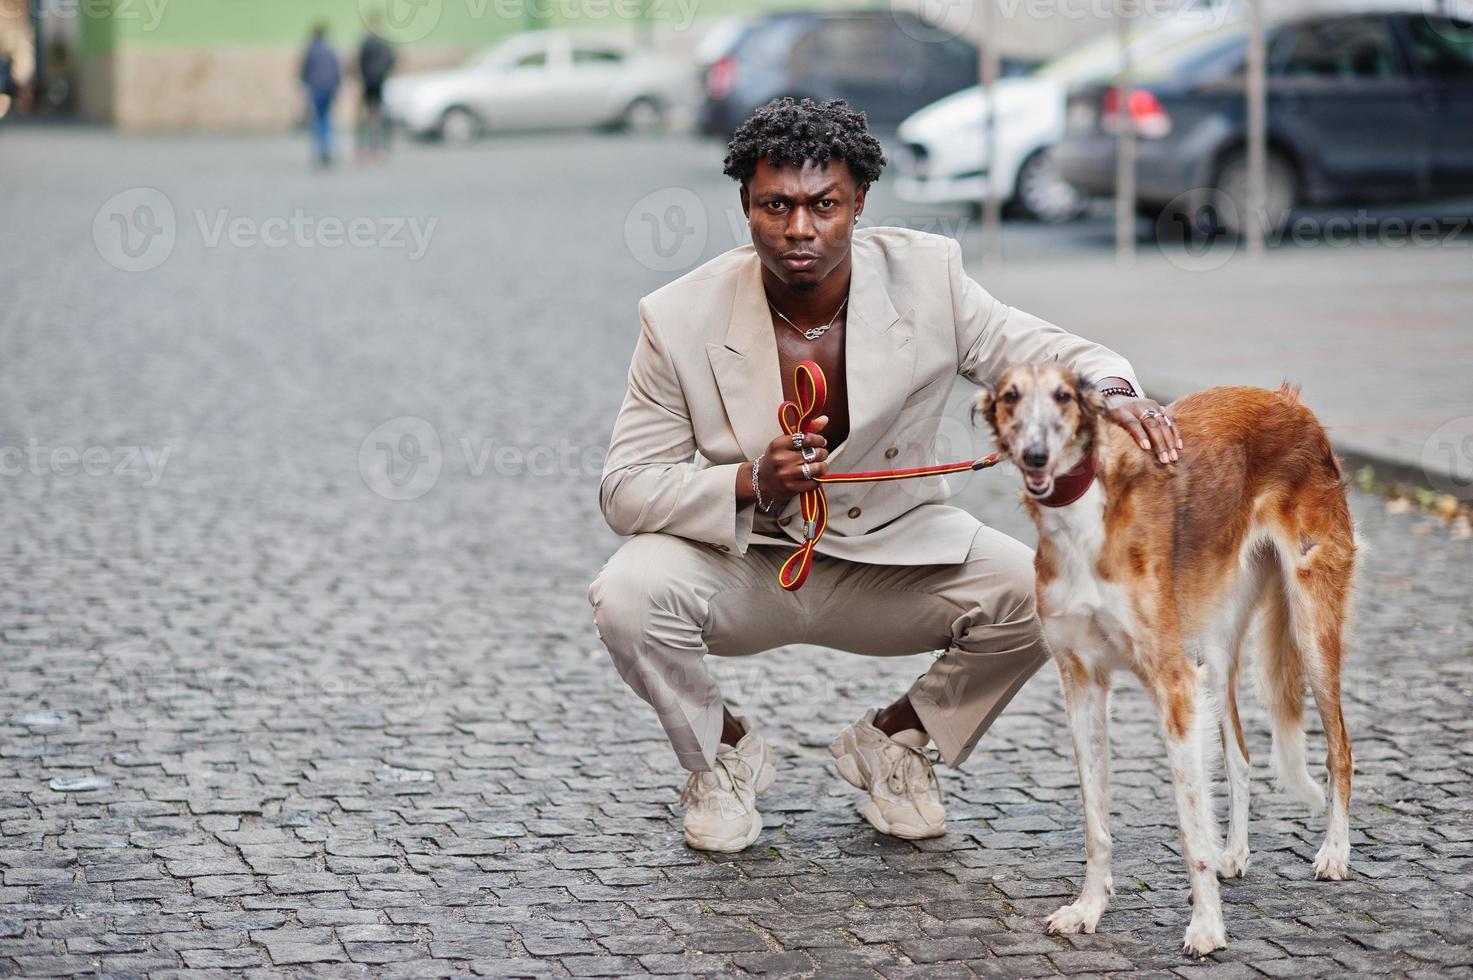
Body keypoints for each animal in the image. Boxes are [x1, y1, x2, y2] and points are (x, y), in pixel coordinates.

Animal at [978, 362, 1355, 949]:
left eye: (1063, 397)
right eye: (1011, 396)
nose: (1036, 456)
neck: (1085, 522)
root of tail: (1291, 402)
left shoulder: (1174, 682)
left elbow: (1188, 825)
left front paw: (1206, 928)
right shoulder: (1082, 683)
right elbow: (1095, 821)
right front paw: (1088, 909)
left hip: (1312, 624)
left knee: (1341, 748)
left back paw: (1334, 853)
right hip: (1217, 648)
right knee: (1240, 754)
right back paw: (1234, 854)